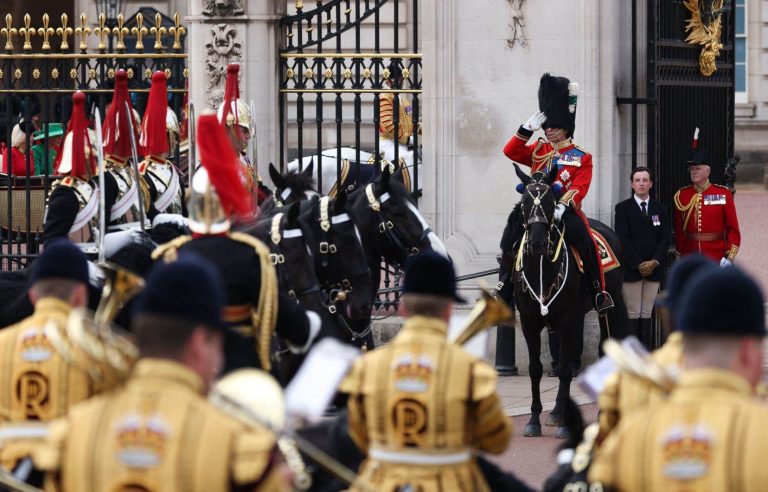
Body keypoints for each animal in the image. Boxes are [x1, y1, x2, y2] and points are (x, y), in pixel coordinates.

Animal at [508, 164, 628, 438]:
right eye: (524, 202)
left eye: (552, 202)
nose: (538, 243)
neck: (541, 268)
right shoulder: (530, 321)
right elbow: (535, 369)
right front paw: (534, 420)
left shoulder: (566, 319)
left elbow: (563, 370)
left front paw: (563, 424)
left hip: (608, 306)